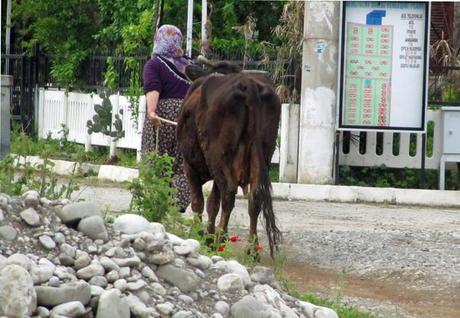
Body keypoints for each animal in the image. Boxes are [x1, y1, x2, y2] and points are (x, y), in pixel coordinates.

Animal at [178, 56, 282, 258]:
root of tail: (248, 84)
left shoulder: (190, 165)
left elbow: (199, 202)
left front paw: (200, 234)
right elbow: (212, 203)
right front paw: (207, 236)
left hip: (220, 156)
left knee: (229, 192)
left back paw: (221, 238)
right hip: (263, 153)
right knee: (254, 196)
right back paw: (251, 248)